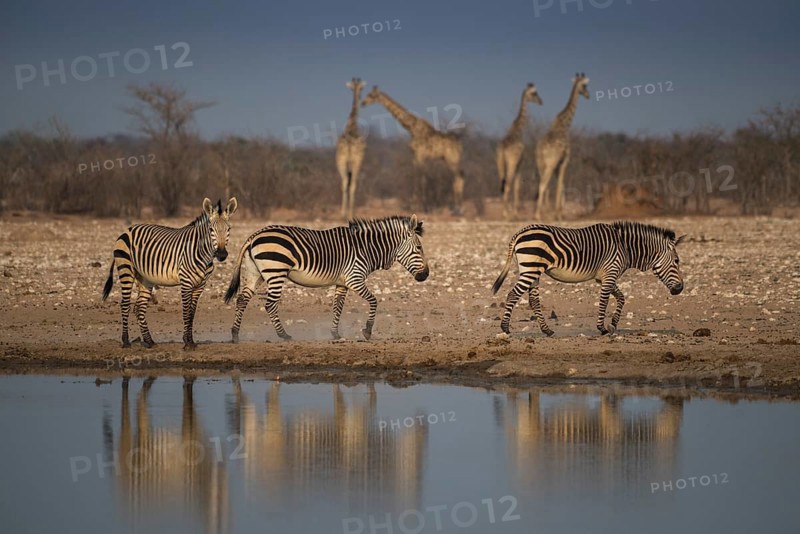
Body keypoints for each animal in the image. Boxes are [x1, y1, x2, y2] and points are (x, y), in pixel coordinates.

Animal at [102, 197, 238, 350]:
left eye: (229, 229)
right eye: (211, 230)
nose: (221, 254)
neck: (203, 253)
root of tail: (128, 229)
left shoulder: (200, 285)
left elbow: (192, 313)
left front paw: (191, 341)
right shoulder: (186, 282)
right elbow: (186, 312)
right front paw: (187, 342)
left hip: (145, 278)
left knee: (139, 307)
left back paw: (149, 341)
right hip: (126, 269)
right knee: (125, 304)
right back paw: (126, 341)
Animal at [224, 215, 429, 342]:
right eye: (419, 248)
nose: (426, 275)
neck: (366, 248)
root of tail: (254, 236)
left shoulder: (343, 283)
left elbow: (337, 307)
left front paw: (335, 334)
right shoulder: (354, 278)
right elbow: (374, 301)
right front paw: (367, 331)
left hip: (255, 273)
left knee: (242, 300)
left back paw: (235, 334)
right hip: (276, 271)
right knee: (270, 305)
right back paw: (284, 335)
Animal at [491, 221, 685, 336]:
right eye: (677, 261)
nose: (680, 289)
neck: (625, 247)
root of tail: (519, 233)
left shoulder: (605, 276)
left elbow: (621, 298)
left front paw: (613, 324)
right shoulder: (610, 273)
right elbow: (604, 301)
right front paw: (602, 328)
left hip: (533, 271)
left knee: (533, 301)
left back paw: (547, 330)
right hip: (530, 268)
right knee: (513, 295)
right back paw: (505, 328)